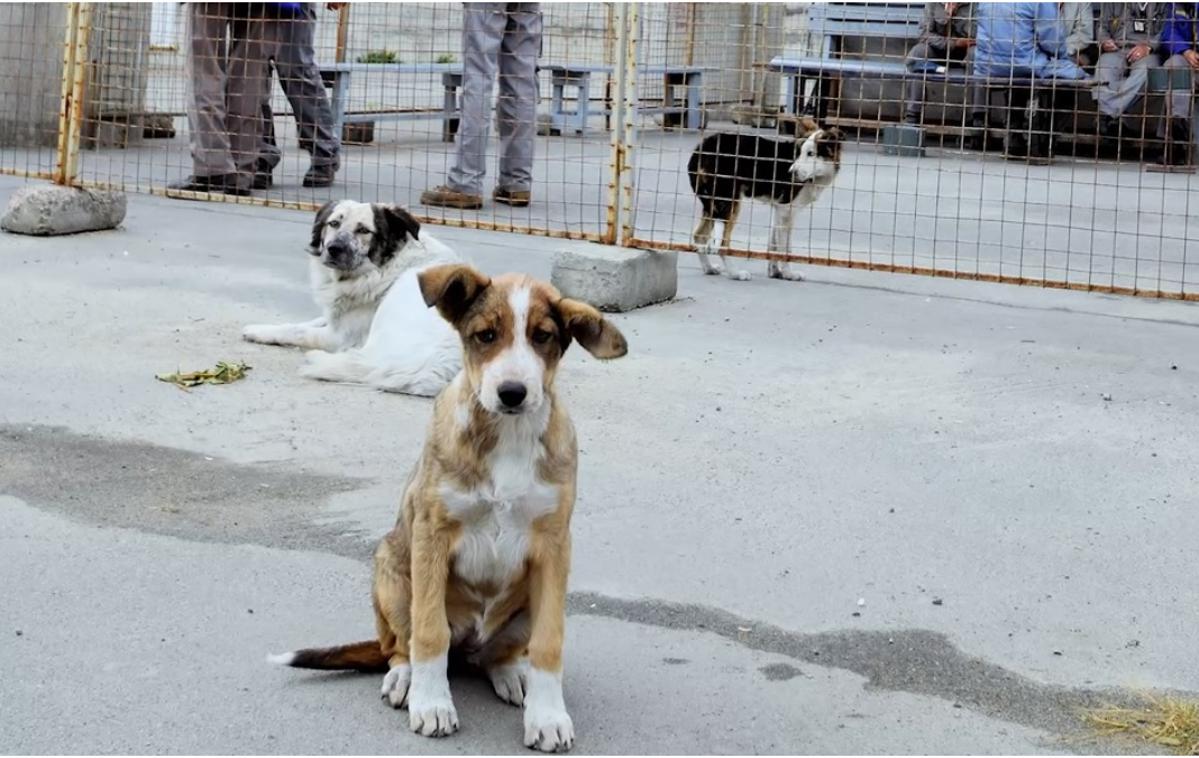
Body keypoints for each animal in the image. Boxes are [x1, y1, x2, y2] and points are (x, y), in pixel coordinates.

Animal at [243, 197, 462, 400]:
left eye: (364, 230)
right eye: (333, 223)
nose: (334, 248)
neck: (383, 270)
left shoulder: (340, 337)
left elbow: (299, 331)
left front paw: (260, 331)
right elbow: (310, 321)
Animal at [270, 263, 628, 748]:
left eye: (542, 336)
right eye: (485, 335)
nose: (512, 392)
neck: (506, 436)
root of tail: (470, 648)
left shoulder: (554, 548)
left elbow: (550, 643)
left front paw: (548, 716)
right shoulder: (432, 535)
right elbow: (429, 633)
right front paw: (432, 703)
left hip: (522, 606)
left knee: (497, 655)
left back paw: (512, 674)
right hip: (393, 572)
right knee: (399, 646)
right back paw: (405, 679)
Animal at [685, 121, 844, 281]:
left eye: (811, 153)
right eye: (799, 153)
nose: (790, 173)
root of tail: (700, 150)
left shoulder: (779, 210)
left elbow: (773, 245)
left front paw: (775, 272)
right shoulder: (787, 210)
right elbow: (785, 248)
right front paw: (789, 274)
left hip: (713, 205)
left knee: (699, 236)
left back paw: (709, 268)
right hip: (729, 203)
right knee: (722, 244)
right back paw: (735, 273)